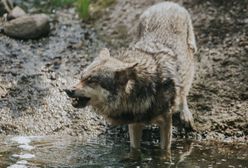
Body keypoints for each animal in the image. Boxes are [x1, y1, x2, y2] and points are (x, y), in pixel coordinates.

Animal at [65, 1, 197, 161]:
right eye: (81, 77)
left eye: (91, 81)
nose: (68, 90)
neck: (146, 87)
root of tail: (166, 4)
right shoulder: (135, 123)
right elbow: (135, 149)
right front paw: (132, 160)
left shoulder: (166, 121)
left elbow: (164, 150)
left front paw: (164, 161)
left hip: (190, 60)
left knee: (184, 90)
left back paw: (185, 115)